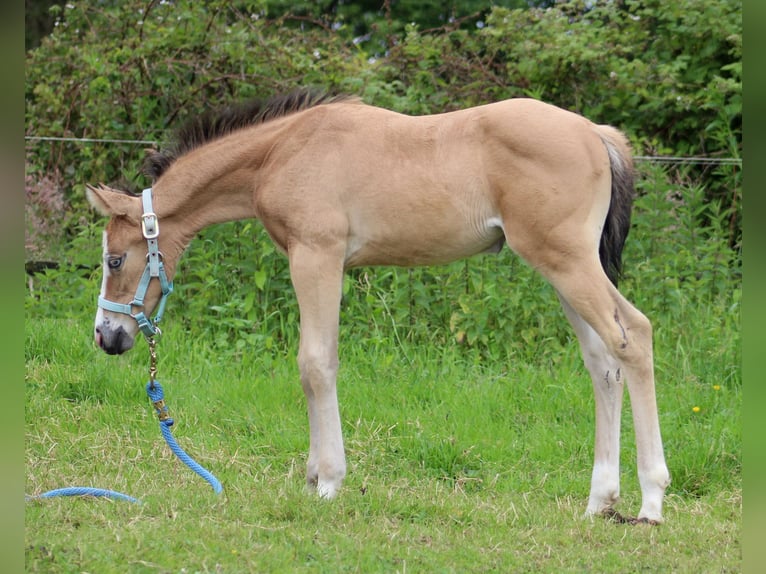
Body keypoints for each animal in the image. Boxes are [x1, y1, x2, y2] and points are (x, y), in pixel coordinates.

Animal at [85, 88, 672, 524]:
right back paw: (600, 502)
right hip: (563, 268)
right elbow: (317, 363)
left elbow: (315, 364)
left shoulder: (316, 256)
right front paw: (312, 478)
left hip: (567, 260)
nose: (106, 338)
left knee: (635, 336)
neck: (283, 150)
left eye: (115, 260)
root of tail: (597, 134)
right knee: (603, 363)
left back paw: (651, 501)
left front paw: (327, 482)